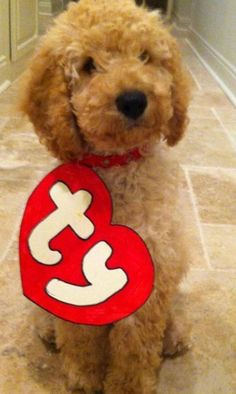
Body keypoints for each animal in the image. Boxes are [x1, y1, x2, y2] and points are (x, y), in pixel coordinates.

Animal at [20, 0, 192, 394]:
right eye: (88, 65)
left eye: (144, 56)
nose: (133, 99)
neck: (117, 166)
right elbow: (81, 337)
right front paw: (84, 376)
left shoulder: (150, 274)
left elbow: (135, 346)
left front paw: (128, 386)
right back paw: (47, 328)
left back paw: (174, 335)